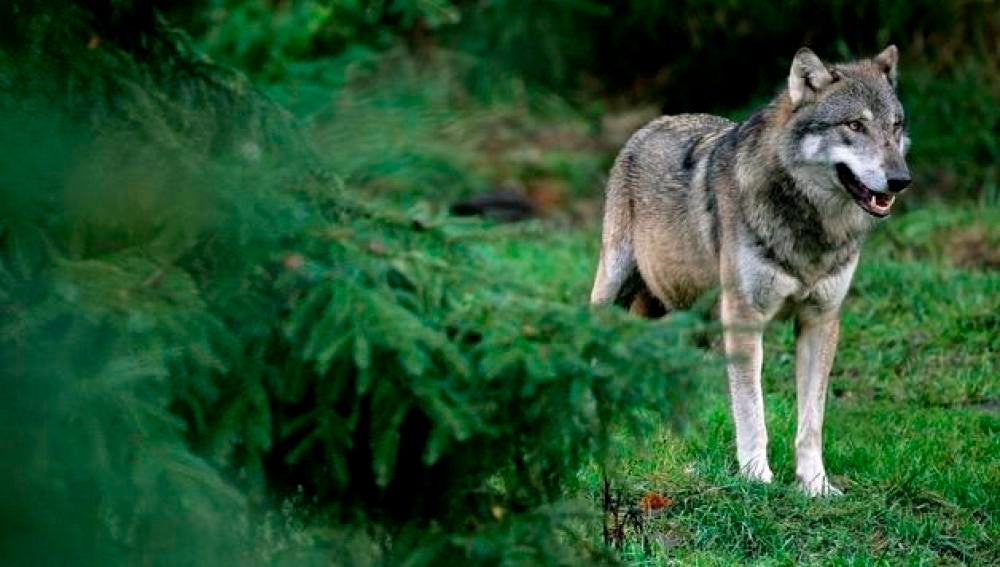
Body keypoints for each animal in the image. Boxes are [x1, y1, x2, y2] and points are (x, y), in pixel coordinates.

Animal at [588, 45, 912, 496]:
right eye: (854, 125)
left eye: (896, 127)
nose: (901, 180)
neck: (811, 228)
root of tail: (651, 124)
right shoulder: (744, 318)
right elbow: (751, 410)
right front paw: (757, 477)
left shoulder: (820, 320)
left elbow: (811, 421)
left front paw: (815, 485)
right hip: (615, 289)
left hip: (687, 320)